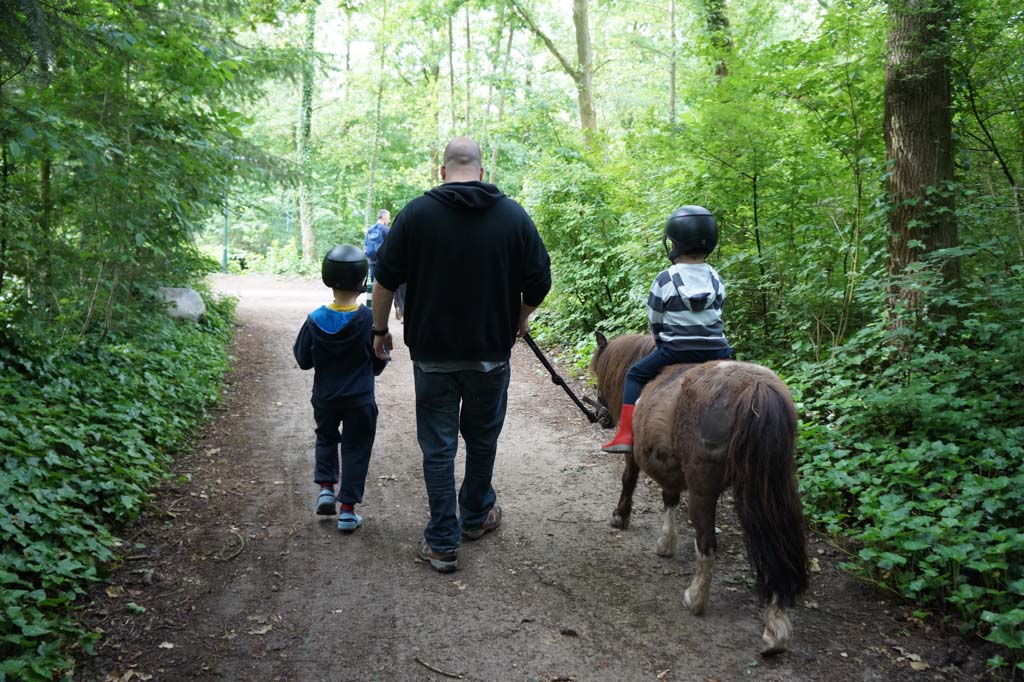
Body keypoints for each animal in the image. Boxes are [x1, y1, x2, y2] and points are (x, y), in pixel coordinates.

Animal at [593, 329, 806, 655]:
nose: (602, 416)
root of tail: (755, 389)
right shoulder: (669, 464)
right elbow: (669, 498)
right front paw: (665, 544)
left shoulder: (638, 455)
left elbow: (629, 480)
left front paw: (621, 517)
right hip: (768, 488)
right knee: (775, 546)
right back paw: (776, 629)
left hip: (703, 487)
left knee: (707, 543)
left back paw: (695, 598)